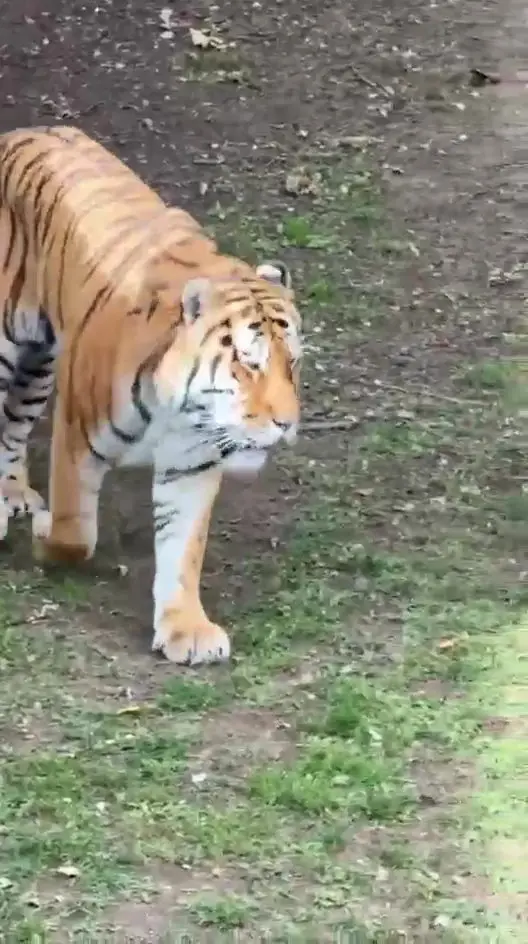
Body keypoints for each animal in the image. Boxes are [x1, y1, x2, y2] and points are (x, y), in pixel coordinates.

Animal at [0, 125, 302, 665]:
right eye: (249, 362)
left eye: (295, 363)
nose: (288, 424)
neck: (178, 407)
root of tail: (23, 131)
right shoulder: (76, 436)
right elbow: (76, 533)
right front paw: (46, 533)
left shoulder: (193, 462)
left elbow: (184, 551)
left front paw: (187, 630)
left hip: (40, 364)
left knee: (13, 425)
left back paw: (11, 492)